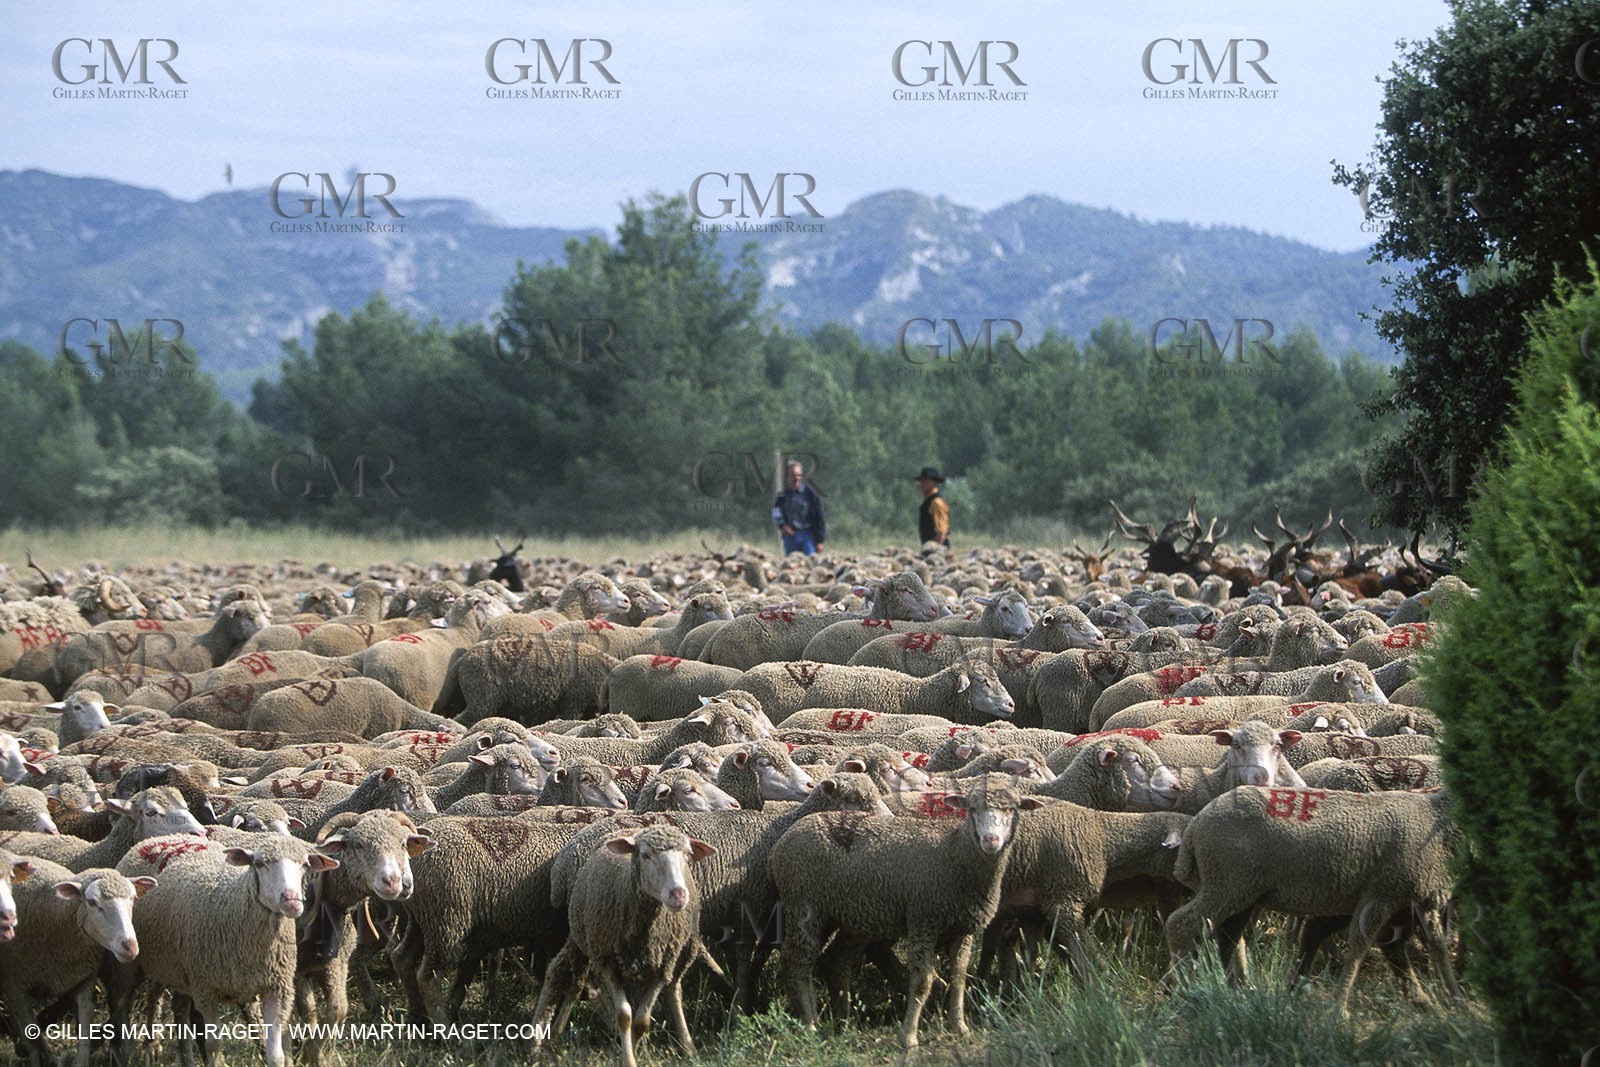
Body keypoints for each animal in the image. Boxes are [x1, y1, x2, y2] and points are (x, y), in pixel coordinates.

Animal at [0, 859, 152, 1067]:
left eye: (134, 898)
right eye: (92, 902)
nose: (130, 946)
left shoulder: (83, 979)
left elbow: (85, 1027)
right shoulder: (14, 986)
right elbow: (31, 1037)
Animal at [111, 833, 340, 1067]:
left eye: (305, 865)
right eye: (259, 864)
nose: (291, 900)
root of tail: (162, 838)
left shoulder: (276, 988)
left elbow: (276, 1054)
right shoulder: (206, 990)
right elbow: (214, 1045)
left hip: (178, 970)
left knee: (179, 1007)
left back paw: (186, 1058)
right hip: (140, 963)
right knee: (134, 1001)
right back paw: (139, 1049)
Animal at [532, 825, 716, 1067]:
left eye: (687, 855)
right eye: (646, 855)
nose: (678, 895)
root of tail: (631, 829)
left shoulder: (661, 968)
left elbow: (642, 1021)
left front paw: (633, 1049)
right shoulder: (607, 962)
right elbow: (624, 1016)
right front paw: (628, 1057)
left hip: (680, 952)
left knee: (673, 990)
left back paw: (688, 1047)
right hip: (582, 939)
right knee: (567, 977)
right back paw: (545, 1038)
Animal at [768, 774, 1041, 1048]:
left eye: (1012, 809)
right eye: (972, 809)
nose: (991, 841)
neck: (954, 854)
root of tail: (791, 832)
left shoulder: (963, 929)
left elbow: (960, 978)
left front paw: (960, 1027)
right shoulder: (924, 920)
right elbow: (922, 983)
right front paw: (909, 1036)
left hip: (850, 916)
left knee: (835, 961)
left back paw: (842, 1022)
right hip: (804, 907)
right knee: (797, 961)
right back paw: (810, 1023)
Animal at [1164, 786, 1463, 1017]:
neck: (1437, 820)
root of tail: (1195, 826)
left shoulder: (1420, 901)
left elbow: (1437, 946)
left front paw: (1453, 999)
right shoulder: (1380, 894)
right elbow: (1358, 948)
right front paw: (1339, 1008)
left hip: (1238, 891)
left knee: (1229, 937)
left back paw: (1236, 988)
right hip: (1226, 884)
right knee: (1180, 924)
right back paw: (1182, 987)